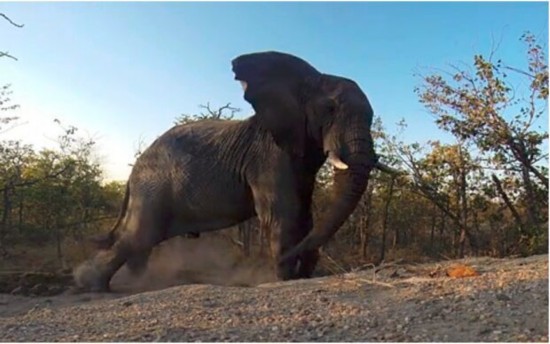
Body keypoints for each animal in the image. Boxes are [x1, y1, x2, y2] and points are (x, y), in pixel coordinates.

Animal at [76, 51, 396, 292]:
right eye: (330, 109)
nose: (292, 260)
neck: (308, 79)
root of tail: (132, 174)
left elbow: (305, 213)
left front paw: (300, 273)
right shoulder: (269, 155)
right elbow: (283, 213)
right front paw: (285, 278)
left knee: (139, 241)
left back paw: (134, 281)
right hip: (152, 187)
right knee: (137, 236)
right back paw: (90, 284)